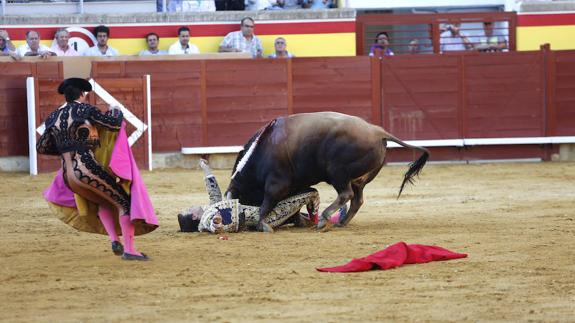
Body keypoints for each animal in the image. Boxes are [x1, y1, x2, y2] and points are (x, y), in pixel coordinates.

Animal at [225, 112, 428, 232]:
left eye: (242, 199)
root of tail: (378, 132)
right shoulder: (294, 186)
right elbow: (292, 206)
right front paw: (300, 221)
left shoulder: (277, 183)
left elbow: (266, 203)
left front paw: (263, 225)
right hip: (358, 180)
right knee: (357, 199)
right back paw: (340, 222)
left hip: (337, 172)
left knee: (346, 194)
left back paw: (324, 219)